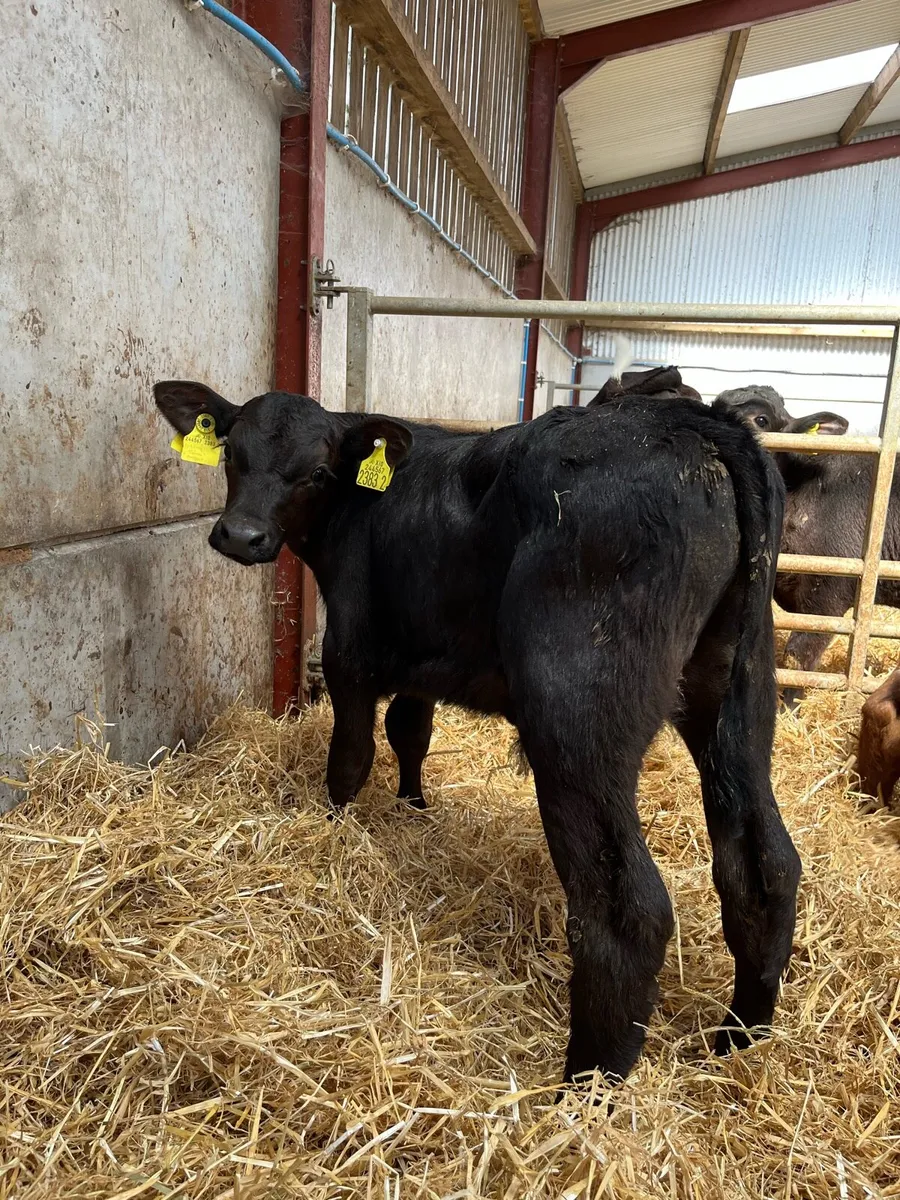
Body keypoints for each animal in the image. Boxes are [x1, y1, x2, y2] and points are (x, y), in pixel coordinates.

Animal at [155, 379, 801, 1086]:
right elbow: (410, 731)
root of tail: (698, 422)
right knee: (764, 864)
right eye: (232, 453)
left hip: (577, 718)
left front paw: (332, 828)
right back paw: (739, 1039)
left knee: (628, 911)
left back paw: (586, 1086)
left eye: (317, 473)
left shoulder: (351, 648)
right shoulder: (422, 654)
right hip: (737, 697)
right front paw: (412, 808)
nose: (241, 536)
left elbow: (351, 756)